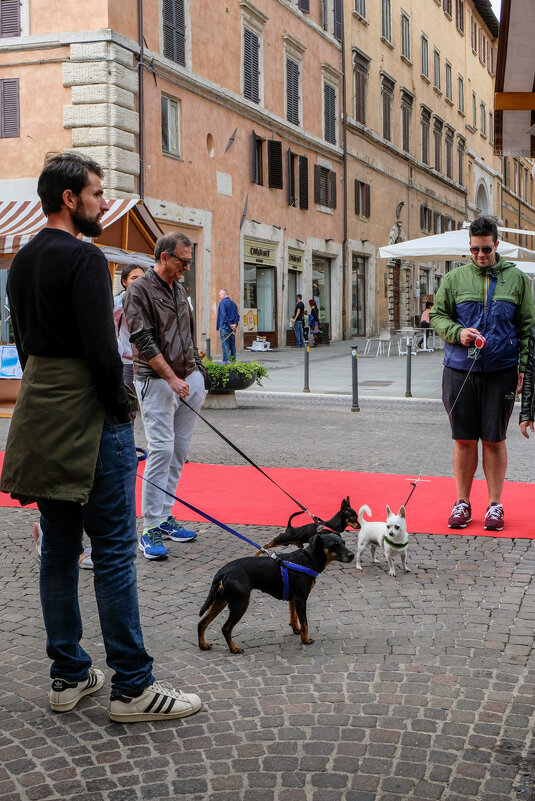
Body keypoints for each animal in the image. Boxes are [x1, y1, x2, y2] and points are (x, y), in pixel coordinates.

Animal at [199, 532, 354, 648]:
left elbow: (294, 617)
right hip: (240, 604)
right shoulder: (300, 599)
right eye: (334, 545)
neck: (307, 560)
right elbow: (305, 623)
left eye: (344, 542)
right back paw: (234, 649)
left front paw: (296, 630)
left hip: (220, 601)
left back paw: (203, 645)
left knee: (202, 623)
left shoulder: (293, 599)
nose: (352, 555)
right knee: (225, 628)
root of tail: (223, 571)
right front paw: (305, 639)